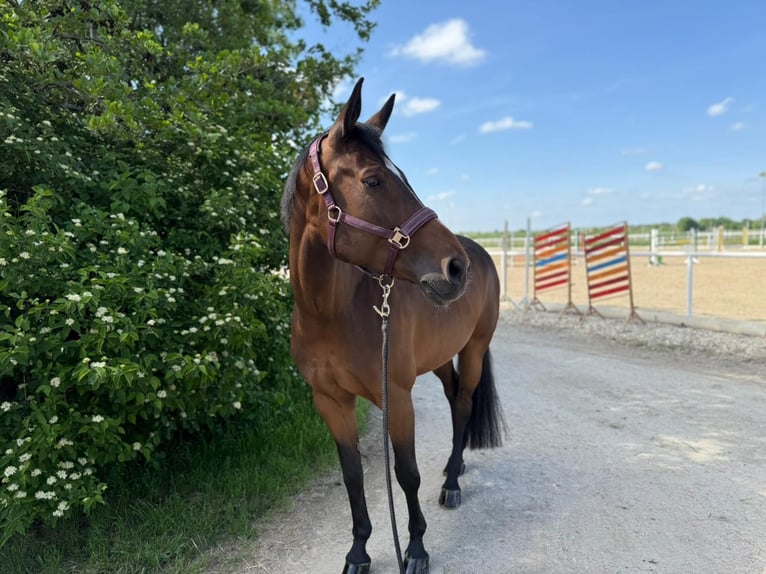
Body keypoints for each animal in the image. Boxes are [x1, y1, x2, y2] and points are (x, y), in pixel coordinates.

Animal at [281, 78, 505, 574]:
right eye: (373, 180)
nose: (455, 268)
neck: (331, 314)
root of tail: (479, 250)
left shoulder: (396, 397)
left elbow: (405, 474)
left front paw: (416, 549)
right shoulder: (330, 402)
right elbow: (352, 476)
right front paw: (359, 551)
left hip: (473, 349)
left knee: (464, 403)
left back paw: (452, 483)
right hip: (439, 358)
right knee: (453, 397)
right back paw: (455, 468)